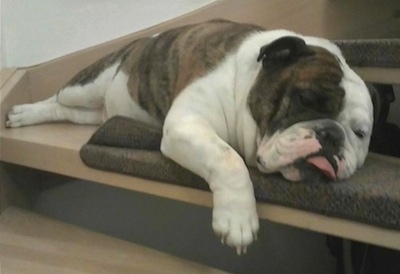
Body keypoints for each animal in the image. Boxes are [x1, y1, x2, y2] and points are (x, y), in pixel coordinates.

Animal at [6, 20, 374, 254]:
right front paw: (238, 218)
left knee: (65, 111)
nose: (331, 135)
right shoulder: (187, 124)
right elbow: (228, 159)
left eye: (359, 133)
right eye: (306, 98)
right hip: (85, 87)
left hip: (92, 112)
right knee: (57, 98)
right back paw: (23, 112)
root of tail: (136, 43)